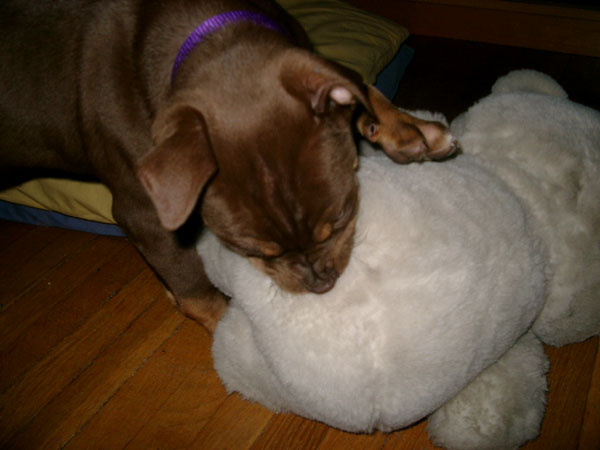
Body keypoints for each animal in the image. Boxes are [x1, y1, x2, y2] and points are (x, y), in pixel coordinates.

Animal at [0, 0, 456, 332]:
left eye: (343, 217)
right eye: (250, 250)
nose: (321, 283)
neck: (206, 31)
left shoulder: (304, 54)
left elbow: (357, 83)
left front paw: (408, 128)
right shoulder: (142, 211)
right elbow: (193, 288)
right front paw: (229, 329)